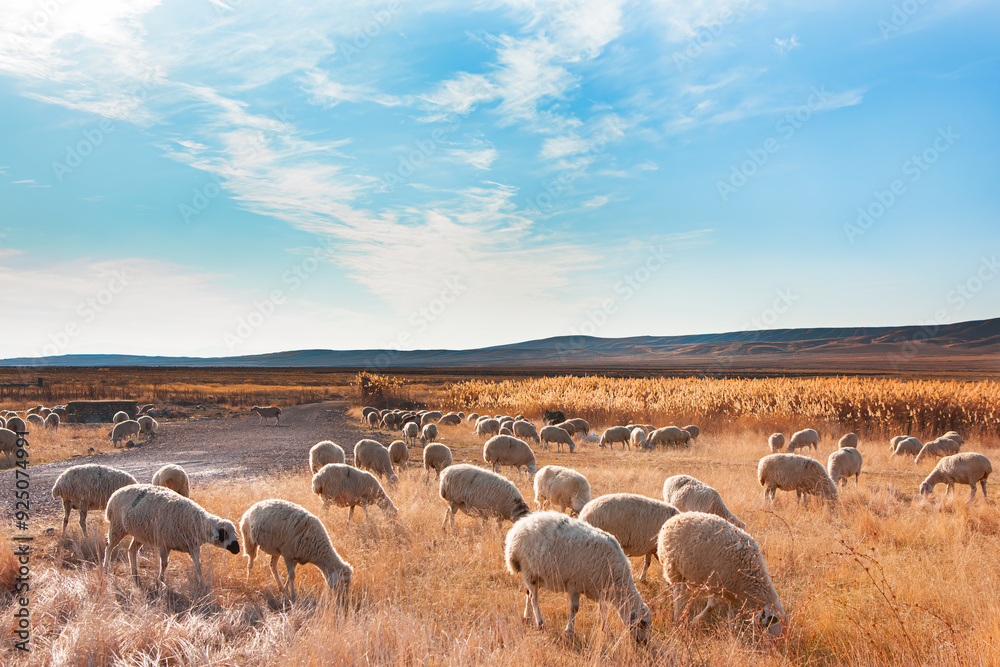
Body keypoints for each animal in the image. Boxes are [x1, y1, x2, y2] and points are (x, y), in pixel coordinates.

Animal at [103, 484, 240, 590]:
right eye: (224, 534)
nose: (237, 549)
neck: (196, 521)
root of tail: (115, 494)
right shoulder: (165, 544)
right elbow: (164, 564)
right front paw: (160, 582)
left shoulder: (193, 546)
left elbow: (198, 565)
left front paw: (203, 584)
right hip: (116, 526)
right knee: (109, 547)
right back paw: (105, 568)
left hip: (139, 533)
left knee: (131, 550)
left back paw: (135, 574)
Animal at [505, 511, 651, 642]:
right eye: (643, 625)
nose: (644, 643)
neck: (617, 578)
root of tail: (516, 530)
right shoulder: (574, 584)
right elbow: (575, 609)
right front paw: (569, 631)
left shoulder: (598, 587)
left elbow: (603, 609)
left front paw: (607, 631)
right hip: (529, 570)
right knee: (534, 598)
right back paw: (540, 623)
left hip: (533, 574)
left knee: (528, 593)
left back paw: (527, 617)